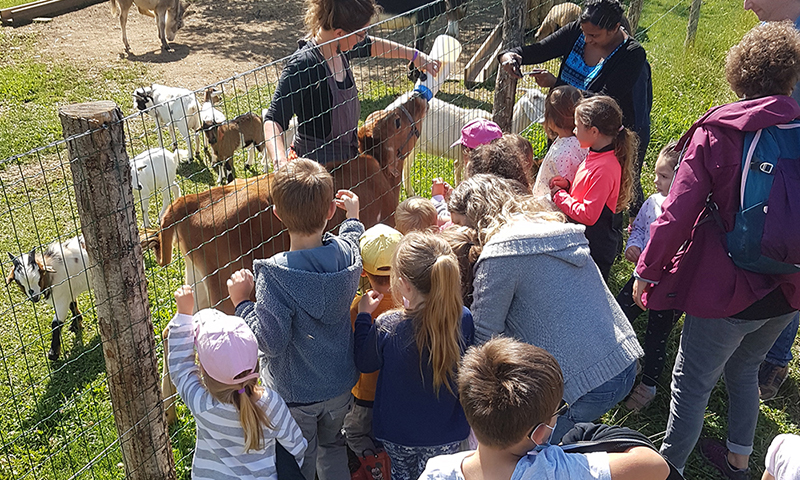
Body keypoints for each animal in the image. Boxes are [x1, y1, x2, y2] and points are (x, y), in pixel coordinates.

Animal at [6, 234, 92, 362]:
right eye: (18, 282)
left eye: (39, 277)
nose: (34, 297)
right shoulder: (68, 292)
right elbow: (73, 305)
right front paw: (76, 324)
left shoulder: (61, 299)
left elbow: (56, 323)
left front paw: (53, 354)